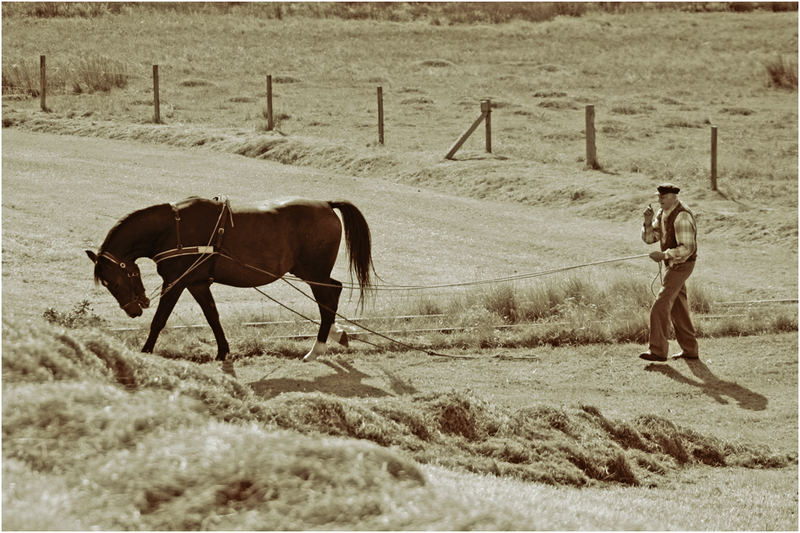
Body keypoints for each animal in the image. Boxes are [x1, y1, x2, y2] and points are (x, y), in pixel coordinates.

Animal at [87, 195, 376, 370]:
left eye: (112, 282)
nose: (133, 310)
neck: (172, 229)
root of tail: (326, 204)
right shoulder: (197, 283)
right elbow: (212, 317)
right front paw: (223, 351)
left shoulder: (176, 282)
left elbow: (160, 320)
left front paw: (145, 352)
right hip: (312, 273)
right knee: (331, 295)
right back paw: (335, 335)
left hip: (313, 273)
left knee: (330, 296)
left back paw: (317, 348)